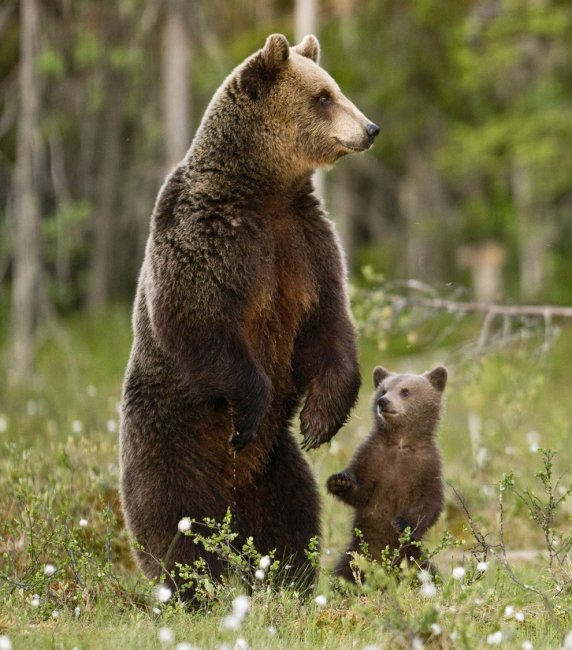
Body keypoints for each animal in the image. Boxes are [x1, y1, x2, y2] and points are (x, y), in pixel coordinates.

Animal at [119, 34, 380, 592]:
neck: (265, 190)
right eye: (323, 97)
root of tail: (232, 498)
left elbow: (329, 324)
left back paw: (290, 579)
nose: (370, 128)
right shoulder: (209, 237)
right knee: (175, 522)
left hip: (276, 467)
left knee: (293, 516)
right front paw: (251, 408)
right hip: (168, 443)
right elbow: (194, 319)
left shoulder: (305, 245)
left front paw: (320, 421)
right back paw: (201, 586)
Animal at [326, 362, 446, 580]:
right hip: (357, 555)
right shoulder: (372, 458)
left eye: (405, 391)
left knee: (429, 573)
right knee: (344, 573)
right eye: (383, 389)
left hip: (413, 558)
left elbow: (430, 502)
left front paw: (402, 522)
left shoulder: (427, 466)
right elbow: (361, 491)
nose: (383, 401)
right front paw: (340, 481)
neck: (400, 443)